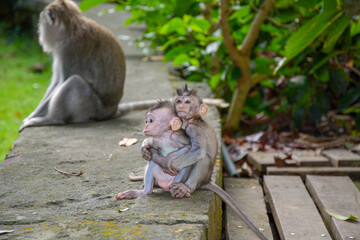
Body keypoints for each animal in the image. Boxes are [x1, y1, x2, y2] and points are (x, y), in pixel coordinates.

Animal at [20, 0, 126, 131]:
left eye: (42, 24)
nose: (40, 33)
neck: (70, 28)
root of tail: (112, 111)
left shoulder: (70, 50)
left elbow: (62, 82)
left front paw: (31, 117)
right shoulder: (60, 53)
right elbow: (56, 82)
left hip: (94, 108)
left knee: (74, 82)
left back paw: (52, 120)